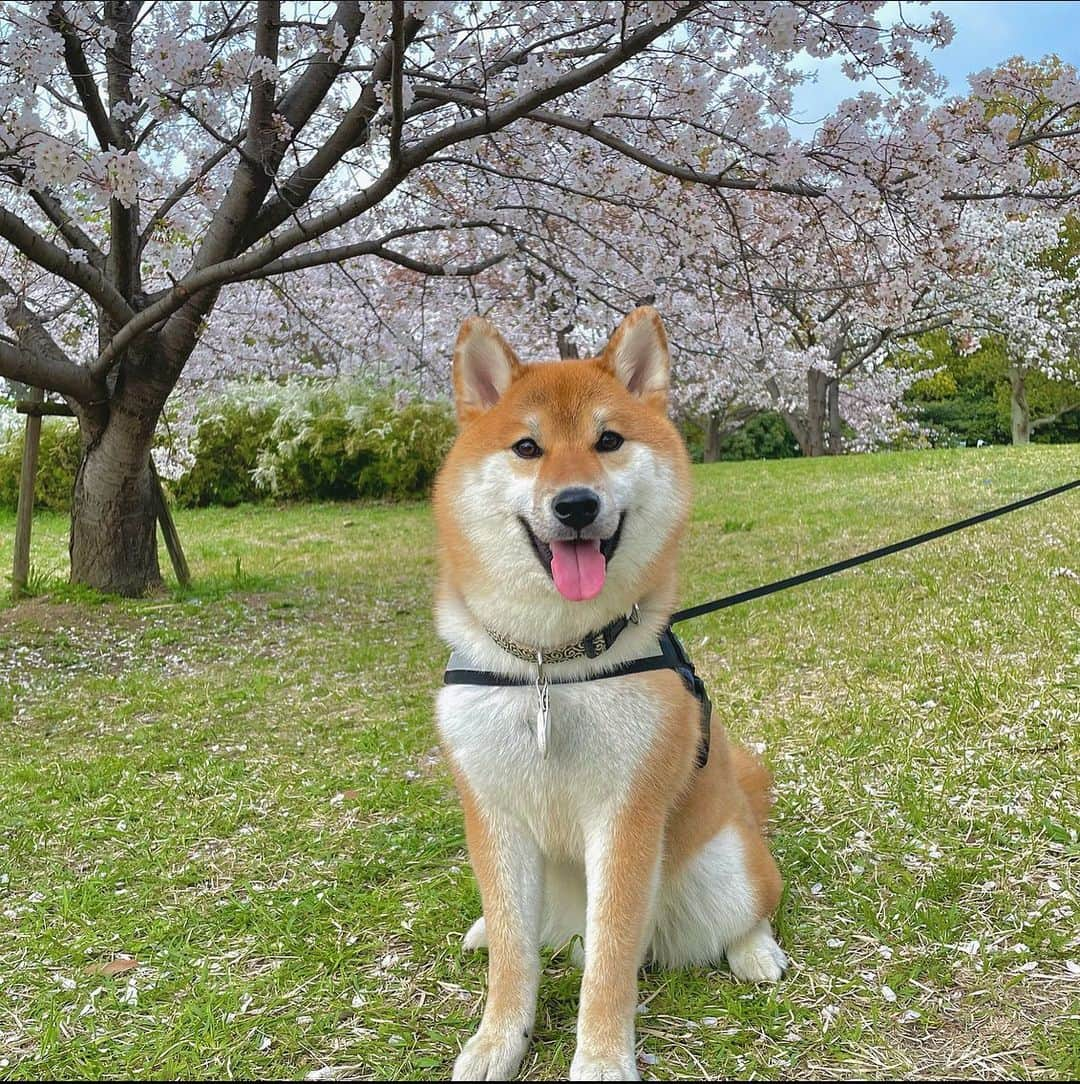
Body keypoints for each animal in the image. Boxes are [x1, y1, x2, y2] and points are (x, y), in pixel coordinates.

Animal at [429, 307, 785, 1084]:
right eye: (527, 447)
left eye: (609, 441)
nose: (576, 504)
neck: (551, 663)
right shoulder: (495, 815)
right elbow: (514, 957)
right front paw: (497, 1041)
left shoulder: (626, 815)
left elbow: (613, 959)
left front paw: (599, 1058)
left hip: (729, 866)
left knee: (748, 909)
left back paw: (756, 950)